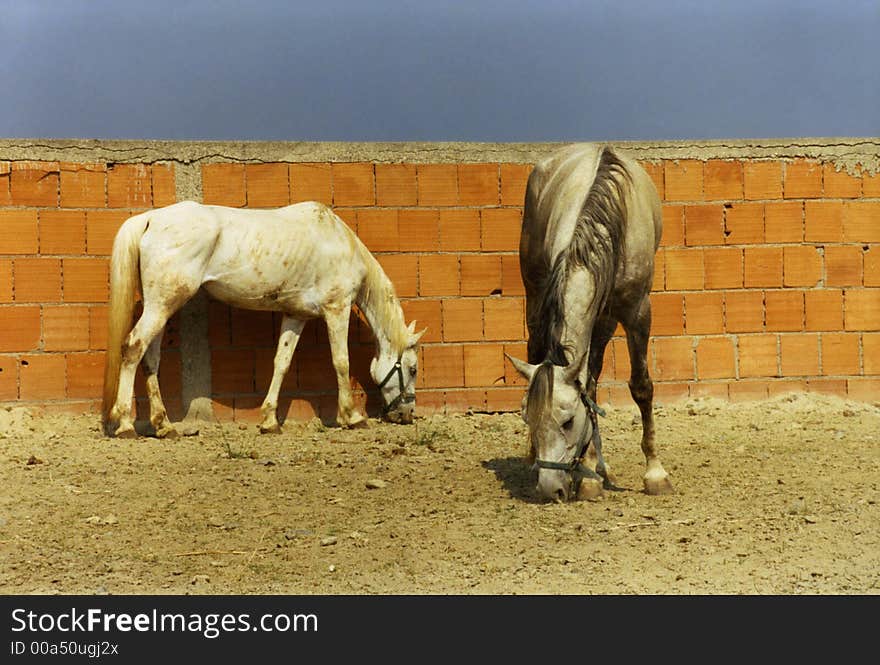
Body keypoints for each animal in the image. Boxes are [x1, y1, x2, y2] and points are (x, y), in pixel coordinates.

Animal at [101, 200, 424, 438]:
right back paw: (126, 424)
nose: (407, 415)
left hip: (160, 306)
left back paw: (164, 425)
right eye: (413, 369)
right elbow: (341, 362)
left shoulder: (295, 315)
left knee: (150, 359)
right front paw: (352, 417)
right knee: (133, 347)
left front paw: (270, 421)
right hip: (161, 306)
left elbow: (281, 363)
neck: (338, 241)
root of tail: (151, 219)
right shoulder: (337, 308)